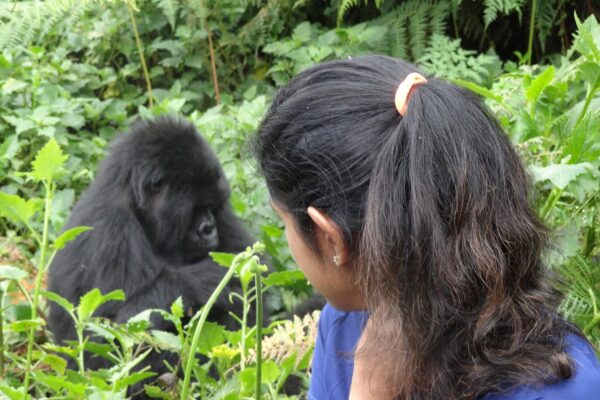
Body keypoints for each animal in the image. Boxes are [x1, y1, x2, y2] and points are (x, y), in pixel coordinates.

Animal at [47, 116, 253, 388]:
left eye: (212, 207)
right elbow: (105, 348)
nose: (210, 229)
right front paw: (205, 279)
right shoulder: (111, 232)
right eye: (196, 208)